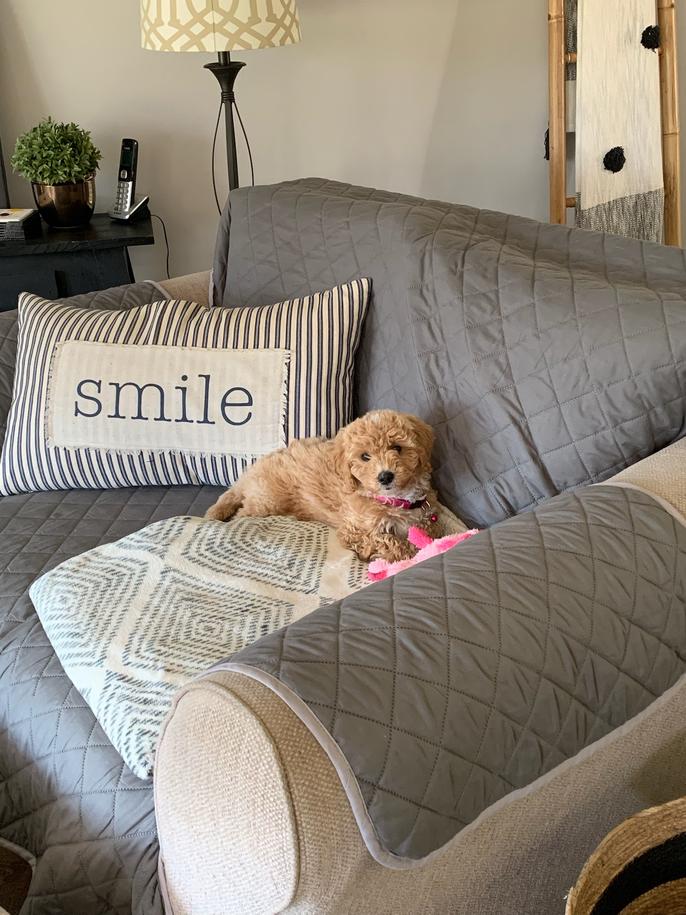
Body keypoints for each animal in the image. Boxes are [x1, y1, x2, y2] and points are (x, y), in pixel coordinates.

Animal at [204, 410, 441, 562]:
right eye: (365, 457)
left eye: (397, 448)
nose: (385, 477)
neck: (394, 499)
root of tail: (252, 470)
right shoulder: (354, 531)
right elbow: (390, 541)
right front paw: (413, 552)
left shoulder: (423, 514)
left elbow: (426, 529)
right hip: (265, 503)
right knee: (240, 512)